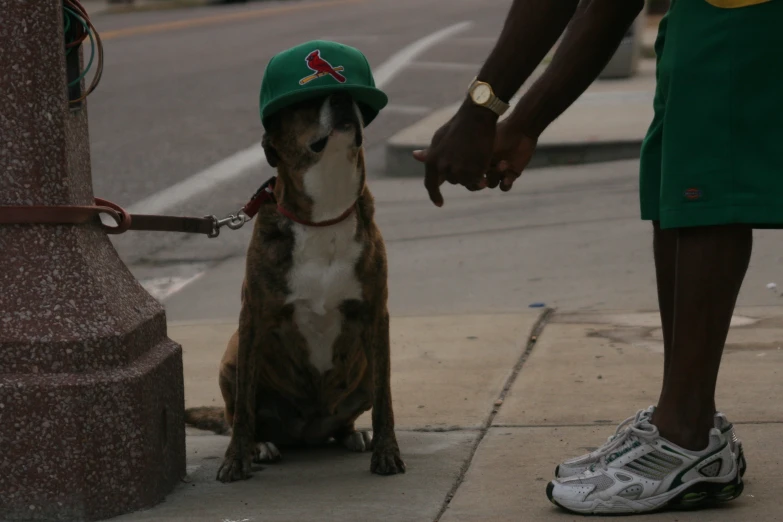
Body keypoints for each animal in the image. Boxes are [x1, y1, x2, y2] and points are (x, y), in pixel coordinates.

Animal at [184, 90, 404, 484]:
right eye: (305, 103)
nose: (343, 97)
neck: (324, 214)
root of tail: (307, 433)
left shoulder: (375, 316)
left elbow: (385, 399)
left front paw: (386, 451)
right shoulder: (253, 319)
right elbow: (244, 408)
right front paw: (236, 459)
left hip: (362, 371)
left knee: (351, 414)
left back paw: (353, 434)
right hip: (231, 359)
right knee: (239, 413)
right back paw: (260, 445)